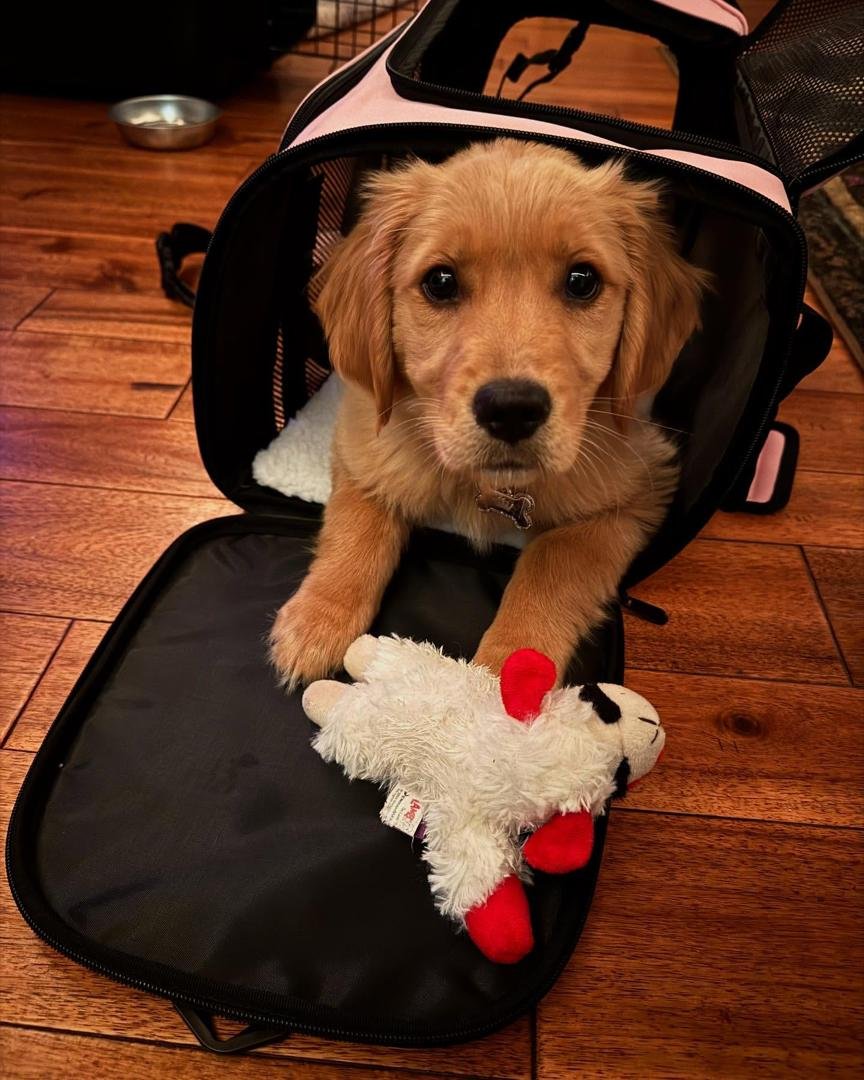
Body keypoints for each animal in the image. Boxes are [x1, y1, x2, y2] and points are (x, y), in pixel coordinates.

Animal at [270, 138, 707, 688]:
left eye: (582, 280)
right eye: (440, 281)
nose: (513, 409)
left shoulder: (637, 489)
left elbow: (553, 563)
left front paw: (505, 672)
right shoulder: (363, 438)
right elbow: (358, 523)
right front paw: (316, 621)